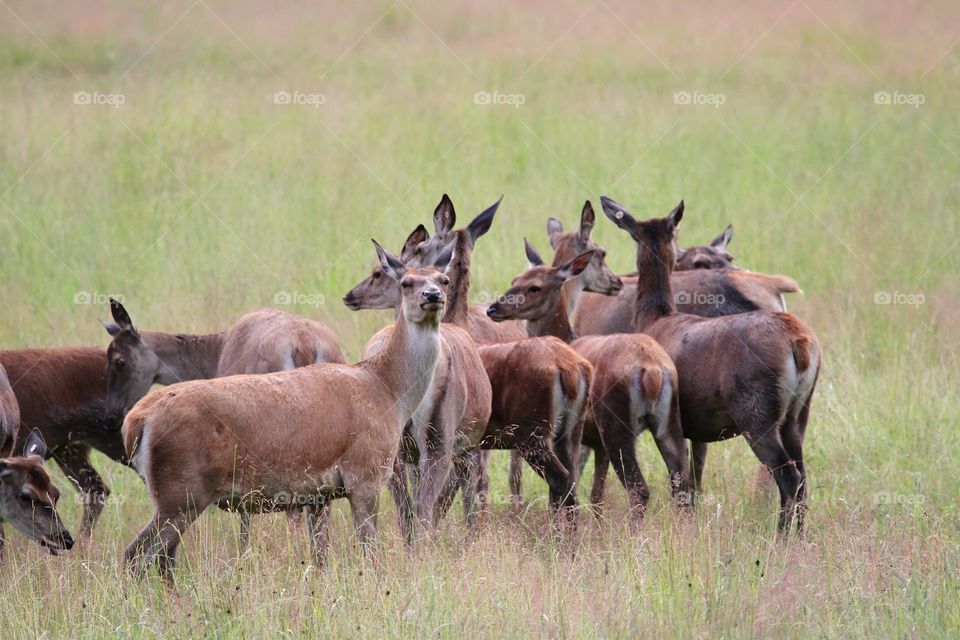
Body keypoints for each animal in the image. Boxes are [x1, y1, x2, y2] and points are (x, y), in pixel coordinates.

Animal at [121, 239, 450, 580]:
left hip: (171, 493)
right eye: (406, 283)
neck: (388, 392)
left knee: (160, 556)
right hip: (181, 490)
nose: (432, 296)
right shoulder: (365, 473)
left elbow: (320, 554)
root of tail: (136, 421)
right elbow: (370, 553)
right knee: (137, 553)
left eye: (444, 280)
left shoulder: (320, 492)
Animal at [492, 241, 688, 520]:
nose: (493, 308)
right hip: (669, 420)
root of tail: (652, 371)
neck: (567, 337)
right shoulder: (595, 444)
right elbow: (596, 495)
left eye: (535, 287)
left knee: (638, 489)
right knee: (682, 485)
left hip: (616, 422)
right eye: (514, 279)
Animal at [600, 196, 816, 536]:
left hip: (756, 412)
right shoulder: (695, 426)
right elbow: (694, 479)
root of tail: (801, 342)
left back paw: (780, 538)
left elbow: (683, 482)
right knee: (804, 475)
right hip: (798, 412)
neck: (654, 318)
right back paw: (800, 536)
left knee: (788, 475)